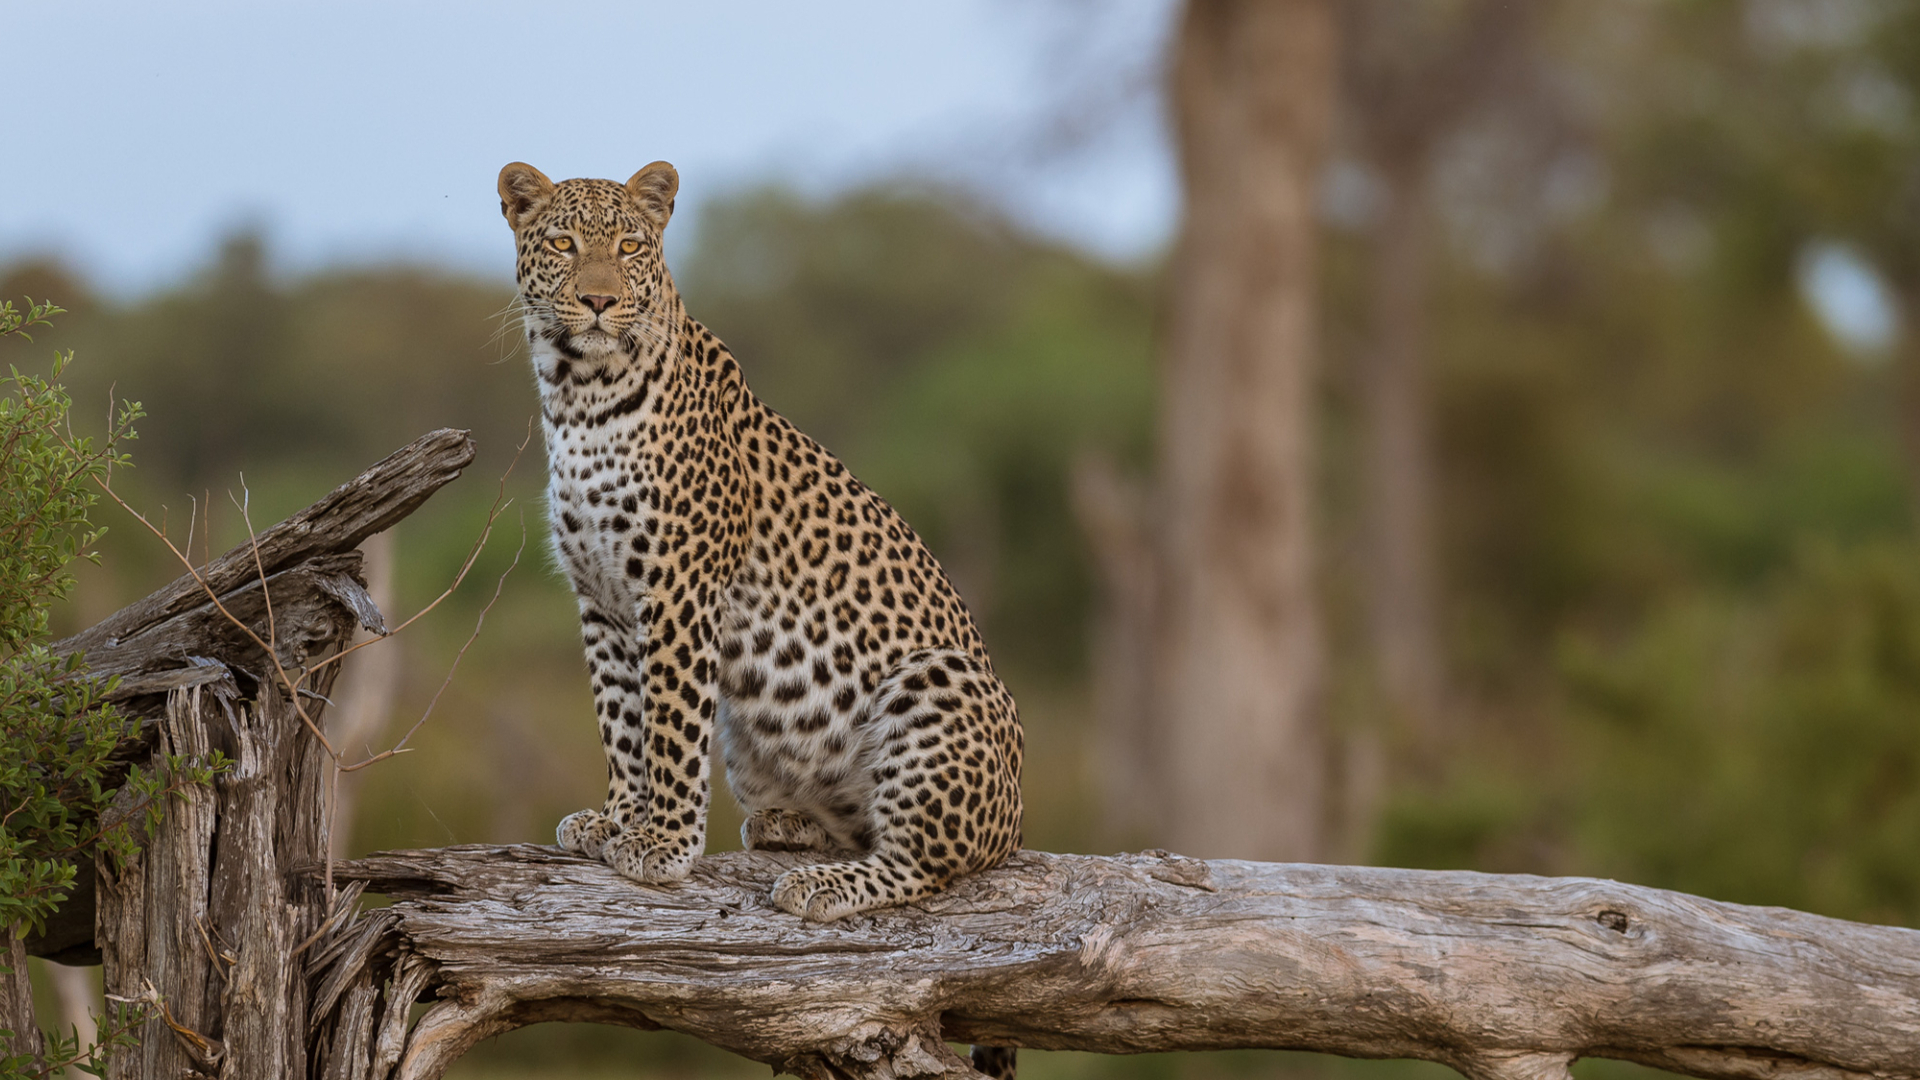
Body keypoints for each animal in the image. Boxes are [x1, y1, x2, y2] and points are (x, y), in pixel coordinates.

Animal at [497, 160, 1025, 934]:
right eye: (563, 243)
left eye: (628, 246)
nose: (598, 301)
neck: (580, 398)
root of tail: (1016, 824)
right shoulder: (599, 599)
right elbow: (621, 719)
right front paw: (618, 817)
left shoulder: (680, 588)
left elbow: (669, 725)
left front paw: (662, 843)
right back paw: (789, 827)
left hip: (939, 680)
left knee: (924, 863)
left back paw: (821, 885)